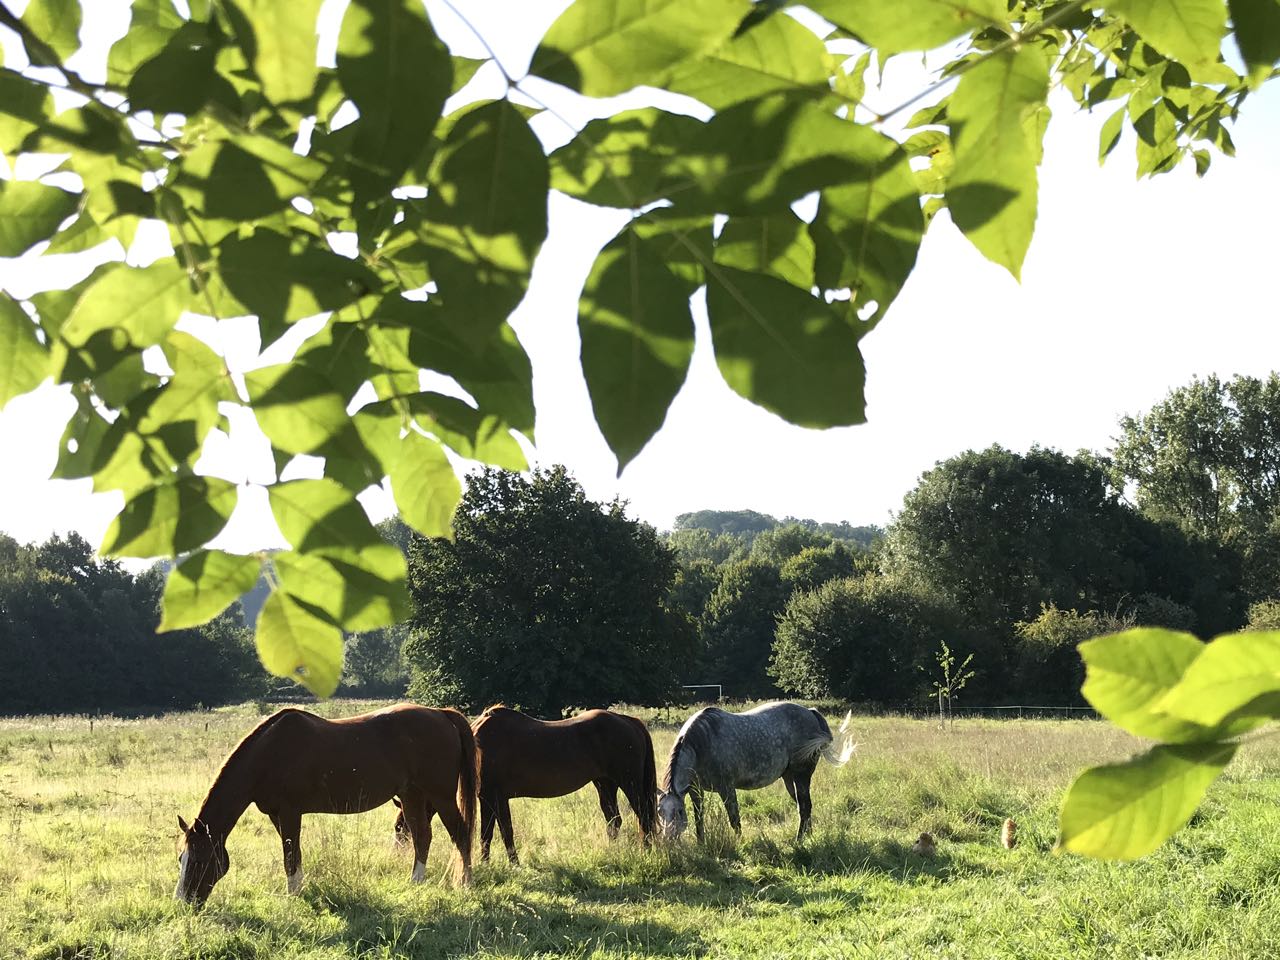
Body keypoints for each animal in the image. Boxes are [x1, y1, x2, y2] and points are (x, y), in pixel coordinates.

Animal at [177, 701, 478, 906]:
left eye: (200, 860)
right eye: (181, 858)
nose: (183, 902)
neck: (268, 755)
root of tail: (441, 714)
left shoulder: (290, 812)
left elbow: (290, 856)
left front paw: (293, 895)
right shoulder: (277, 815)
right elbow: (293, 854)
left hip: (440, 796)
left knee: (461, 835)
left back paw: (464, 884)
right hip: (412, 795)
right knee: (422, 837)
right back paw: (415, 883)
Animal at [391, 706, 655, 865]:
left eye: (399, 827)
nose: (398, 854)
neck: (477, 746)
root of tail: (630, 721)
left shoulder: (495, 797)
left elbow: (502, 831)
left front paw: (510, 863)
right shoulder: (490, 798)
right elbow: (491, 832)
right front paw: (490, 862)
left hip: (629, 782)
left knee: (643, 816)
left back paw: (646, 850)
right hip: (605, 784)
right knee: (614, 820)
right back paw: (613, 852)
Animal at [655, 701, 855, 844]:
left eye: (679, 811)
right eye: (659, 811)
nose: (667, 841)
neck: (701, 744)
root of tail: (810, 712)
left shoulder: (727, 788)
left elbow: (734, 819)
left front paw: (740, 844)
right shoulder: (696, 791)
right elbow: (699, 818)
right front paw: (701, 844)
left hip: (802, 775)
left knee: (805, 806)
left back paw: (798, 841)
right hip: (789, 778)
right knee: (804, 807)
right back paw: (808, 837)